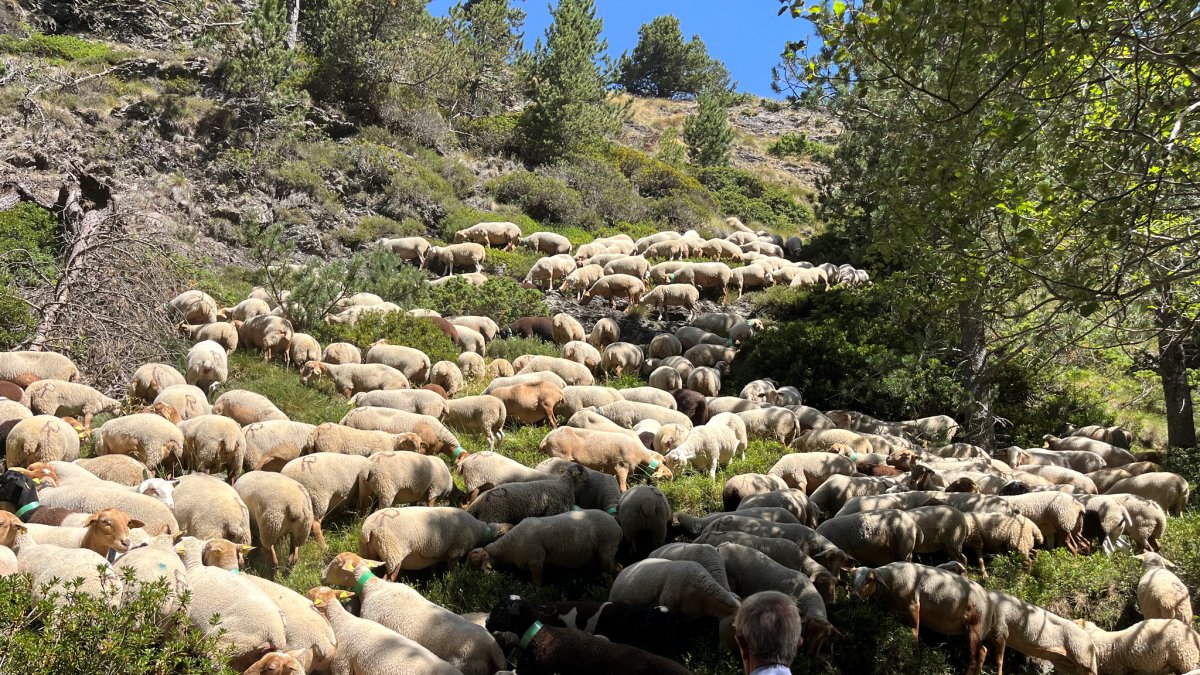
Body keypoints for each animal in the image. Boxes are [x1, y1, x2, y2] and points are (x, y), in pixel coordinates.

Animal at [355, 504, 506, 578]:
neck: (479, 530)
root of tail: (369, 527)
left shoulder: (436, 555)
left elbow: (433, 569)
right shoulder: (456, 550)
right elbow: (451, 572)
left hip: (369, 553)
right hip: (393, 553)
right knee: (388, 578)